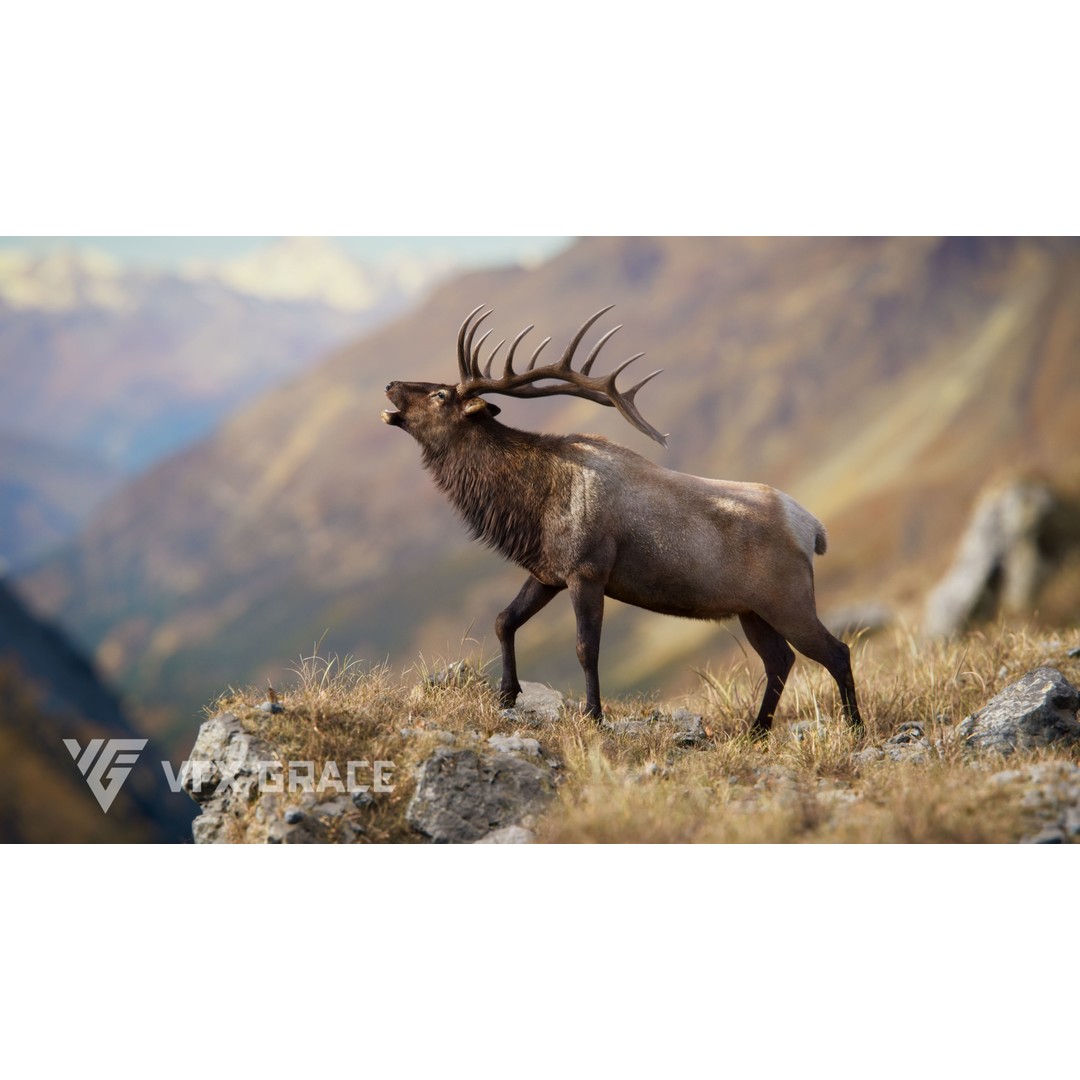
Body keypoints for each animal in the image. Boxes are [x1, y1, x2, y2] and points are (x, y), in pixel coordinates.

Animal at [381, 305, 862, 737]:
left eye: (441, 395)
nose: (390, 384)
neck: (528, 507)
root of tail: (813, 529)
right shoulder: (547, 571)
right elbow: (504, 620)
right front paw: (506, 695)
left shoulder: (588, 570)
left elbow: (586, 649)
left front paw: (593, 716)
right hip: (752, 610)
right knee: (780, 659)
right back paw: (756, 731)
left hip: (788, 599)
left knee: (836, 651)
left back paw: (854, 728)